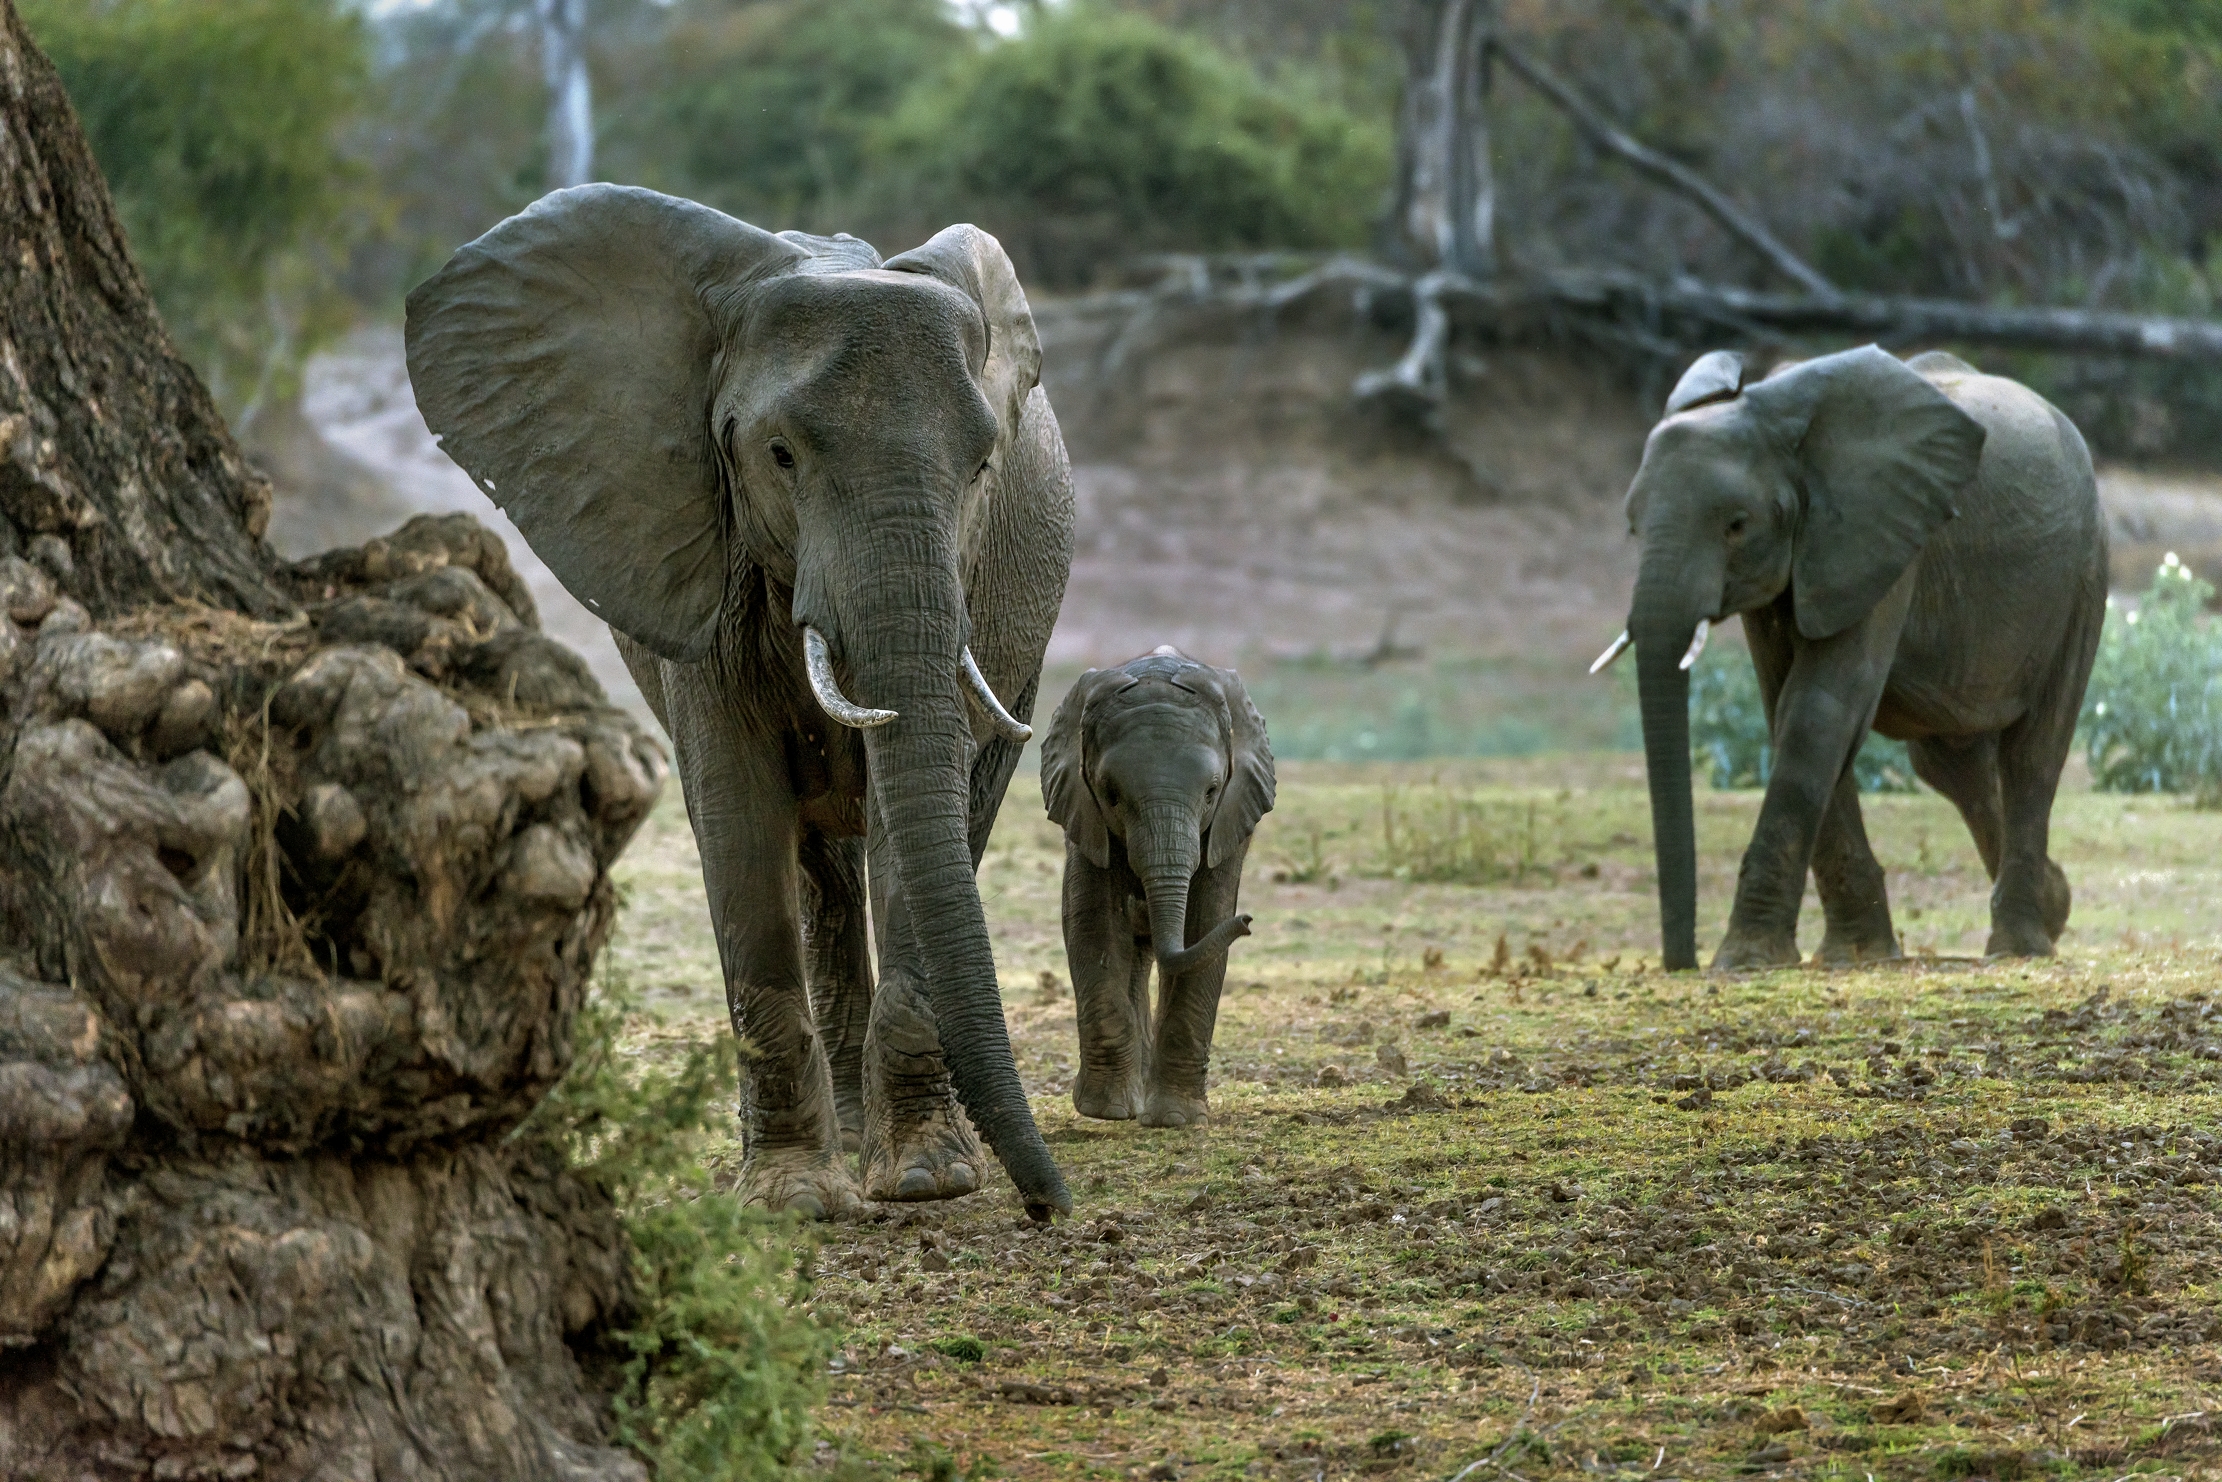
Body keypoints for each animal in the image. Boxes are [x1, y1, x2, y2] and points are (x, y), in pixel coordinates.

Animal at [405, 185, 1074, 1219]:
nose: (1050, 1205)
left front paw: (926, 1182)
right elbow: (737, 812)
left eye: (982, 468)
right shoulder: (702, 558)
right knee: (817, 868)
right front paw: (794, 1201)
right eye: (781, 455)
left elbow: (915, 810)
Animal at [1041, 647, 1274, 1127]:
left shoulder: (1228, 828)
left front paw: (1175, 1119)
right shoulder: (1084, 818)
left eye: (1212, 792)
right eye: (1110, 793)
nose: (1247, 921)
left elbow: (1205, 923)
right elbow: (1094, 926)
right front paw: (1106, 1111)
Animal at [1599, 344, 2106, 971]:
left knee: (2032, 754)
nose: (1681, 962)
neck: (1774, 413)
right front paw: (1855, 956)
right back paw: (2053, 907)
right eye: (1632, 525)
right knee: (1950, 764)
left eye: (1737, 525)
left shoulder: (1884, 535)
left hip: (2084, 570)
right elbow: (1786, 707)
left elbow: (1820, 707)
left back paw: (2019, 947)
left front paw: (1746, 961)